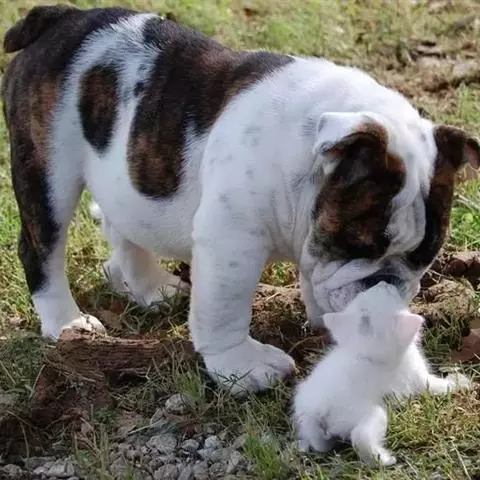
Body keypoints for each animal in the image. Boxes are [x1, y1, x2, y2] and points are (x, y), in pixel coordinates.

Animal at [3, 5, 479, 393]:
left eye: (424, 257)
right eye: (358, 243)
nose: (386, 285)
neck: (303, 160)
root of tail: (60, 18)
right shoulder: (232, 242)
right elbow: (225, 306)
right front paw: (242, 367)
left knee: (123, 224)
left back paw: (151, 287)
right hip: (47, 169)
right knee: (41, 246)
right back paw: (67, 323)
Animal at [293, 281, 471, 467]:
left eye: (362, 294)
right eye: (389, 294)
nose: (383, 282)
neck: (366, 354)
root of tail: (316, 411)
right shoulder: (419, 378)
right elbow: (437, 386)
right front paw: (460, 382)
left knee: (319, 443)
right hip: (369, 413)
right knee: (360, 436)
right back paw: (382, 460)